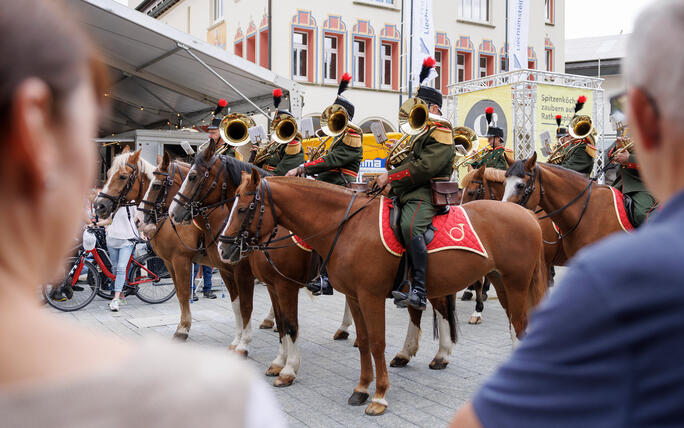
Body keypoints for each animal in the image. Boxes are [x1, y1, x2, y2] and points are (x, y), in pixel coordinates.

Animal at [94, 150, 256, 354]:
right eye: (107, 174)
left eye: (122, 176)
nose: (98, 206)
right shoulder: (169, 262)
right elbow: (179, 293)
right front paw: (182, 326)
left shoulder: (182, 260)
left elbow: (185, 292)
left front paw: (183, 329)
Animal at [167, 140, 460, 382]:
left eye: (193, 176)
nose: (174, 212)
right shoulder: (269, 283)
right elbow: (279, 322)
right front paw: (277, 361)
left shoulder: (271, 281)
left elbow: (273, 318)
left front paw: (282, 365)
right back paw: (395, 350)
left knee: (436, 307)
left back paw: (441, 354)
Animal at [216, 171, 548, 414]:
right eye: (232, 205)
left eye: (243, 208)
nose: (223, 248)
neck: (347, 227)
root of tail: (528, 215)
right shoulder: (351, 296)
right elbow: (362, 342)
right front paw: (361, 389)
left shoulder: (366, 296)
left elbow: (374, 343)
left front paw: (378, 396)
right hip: (500, 284)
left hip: (516, 285)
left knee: (520, 326)